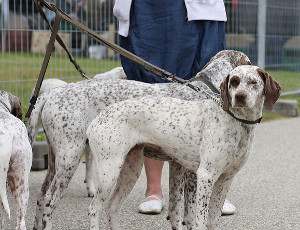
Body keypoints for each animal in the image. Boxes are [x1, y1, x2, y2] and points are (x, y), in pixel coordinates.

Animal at [29, 49, 251, 229]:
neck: (205, 89)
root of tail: (53, 93)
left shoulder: (178, 167)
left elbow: (176, 210)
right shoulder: (191, 172)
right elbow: (189, 212)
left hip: (57, 162)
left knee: (41, 197)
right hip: (71, 158)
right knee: (50, 201)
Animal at [86, 65, 282, 230]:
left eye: (253, 82)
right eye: (234, 81)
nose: (240, 96)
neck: (237, 122)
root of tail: (97, 119)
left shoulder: (226, 179)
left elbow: (212, 219)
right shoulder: (205, 176)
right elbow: (199, 219)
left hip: (130, 170)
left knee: (112, 207)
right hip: (108, 173)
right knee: (94, 209)